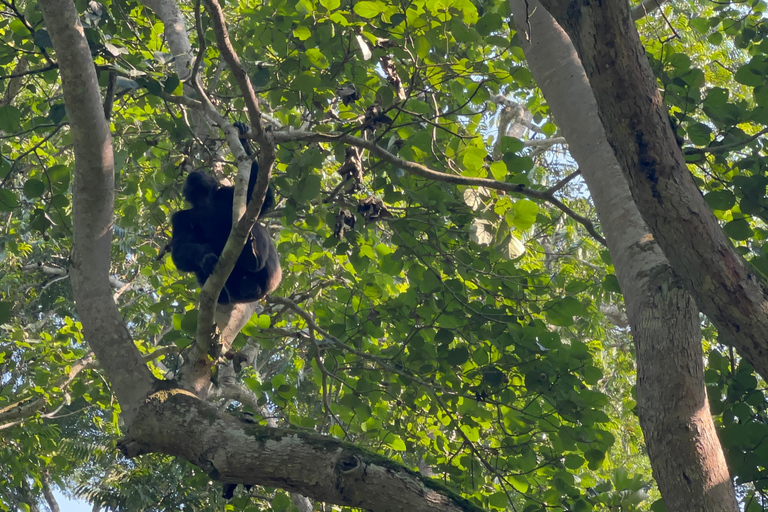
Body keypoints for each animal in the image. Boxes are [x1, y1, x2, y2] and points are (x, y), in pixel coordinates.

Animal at [170, 122, 284, 302]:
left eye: (202, 172)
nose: (195, 173)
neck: (206, 203)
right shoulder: (180, 218)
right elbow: (180, 248)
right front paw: (206, 256)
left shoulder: (227, 195)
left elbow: (261, 198)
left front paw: (243, 138)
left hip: (271, 277)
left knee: (255, 228)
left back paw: (253, 257)